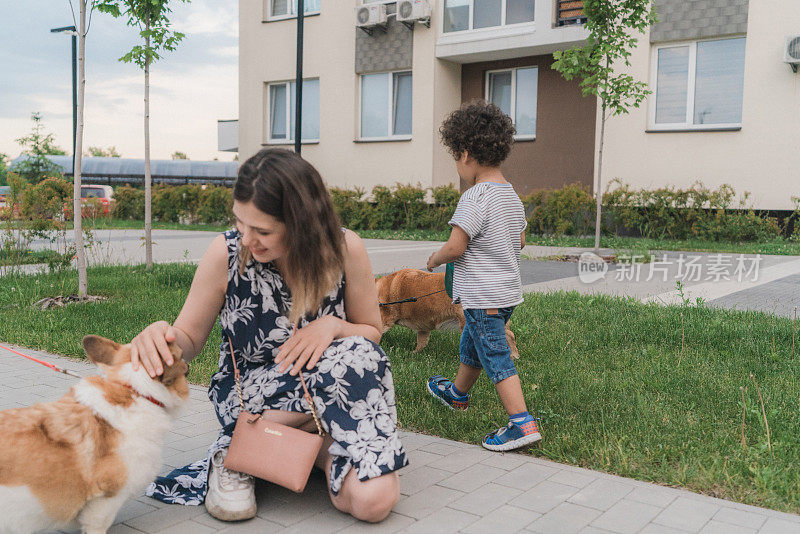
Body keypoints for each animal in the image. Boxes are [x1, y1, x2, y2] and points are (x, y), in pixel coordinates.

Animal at [376, 268, 520, 360]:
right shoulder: (423, 328)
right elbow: (421, 342)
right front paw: (414, 353)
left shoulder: (385, 320)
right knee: (510, 335)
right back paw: (513, 355)